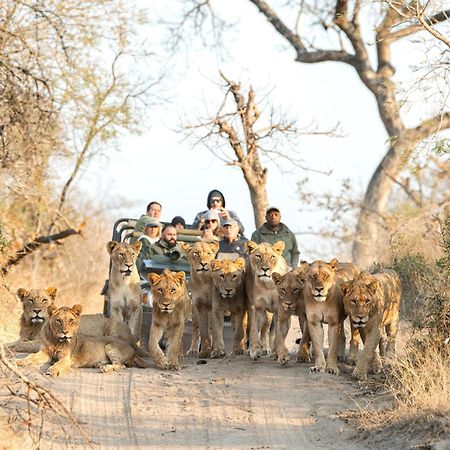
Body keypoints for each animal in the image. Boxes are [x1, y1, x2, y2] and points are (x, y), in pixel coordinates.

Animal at [16, 302, 149, 376]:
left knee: (121, 365)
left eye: (71, 320)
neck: (56, 340)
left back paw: (105, 368)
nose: (65, 332)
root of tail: (132, 347)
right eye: (58, 320)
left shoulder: (66, 359)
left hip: (110, 346)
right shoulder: (45, 352)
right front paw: (20, 361)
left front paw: (53, 370)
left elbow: (58, 364)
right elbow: (31, 356)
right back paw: (100, 364)